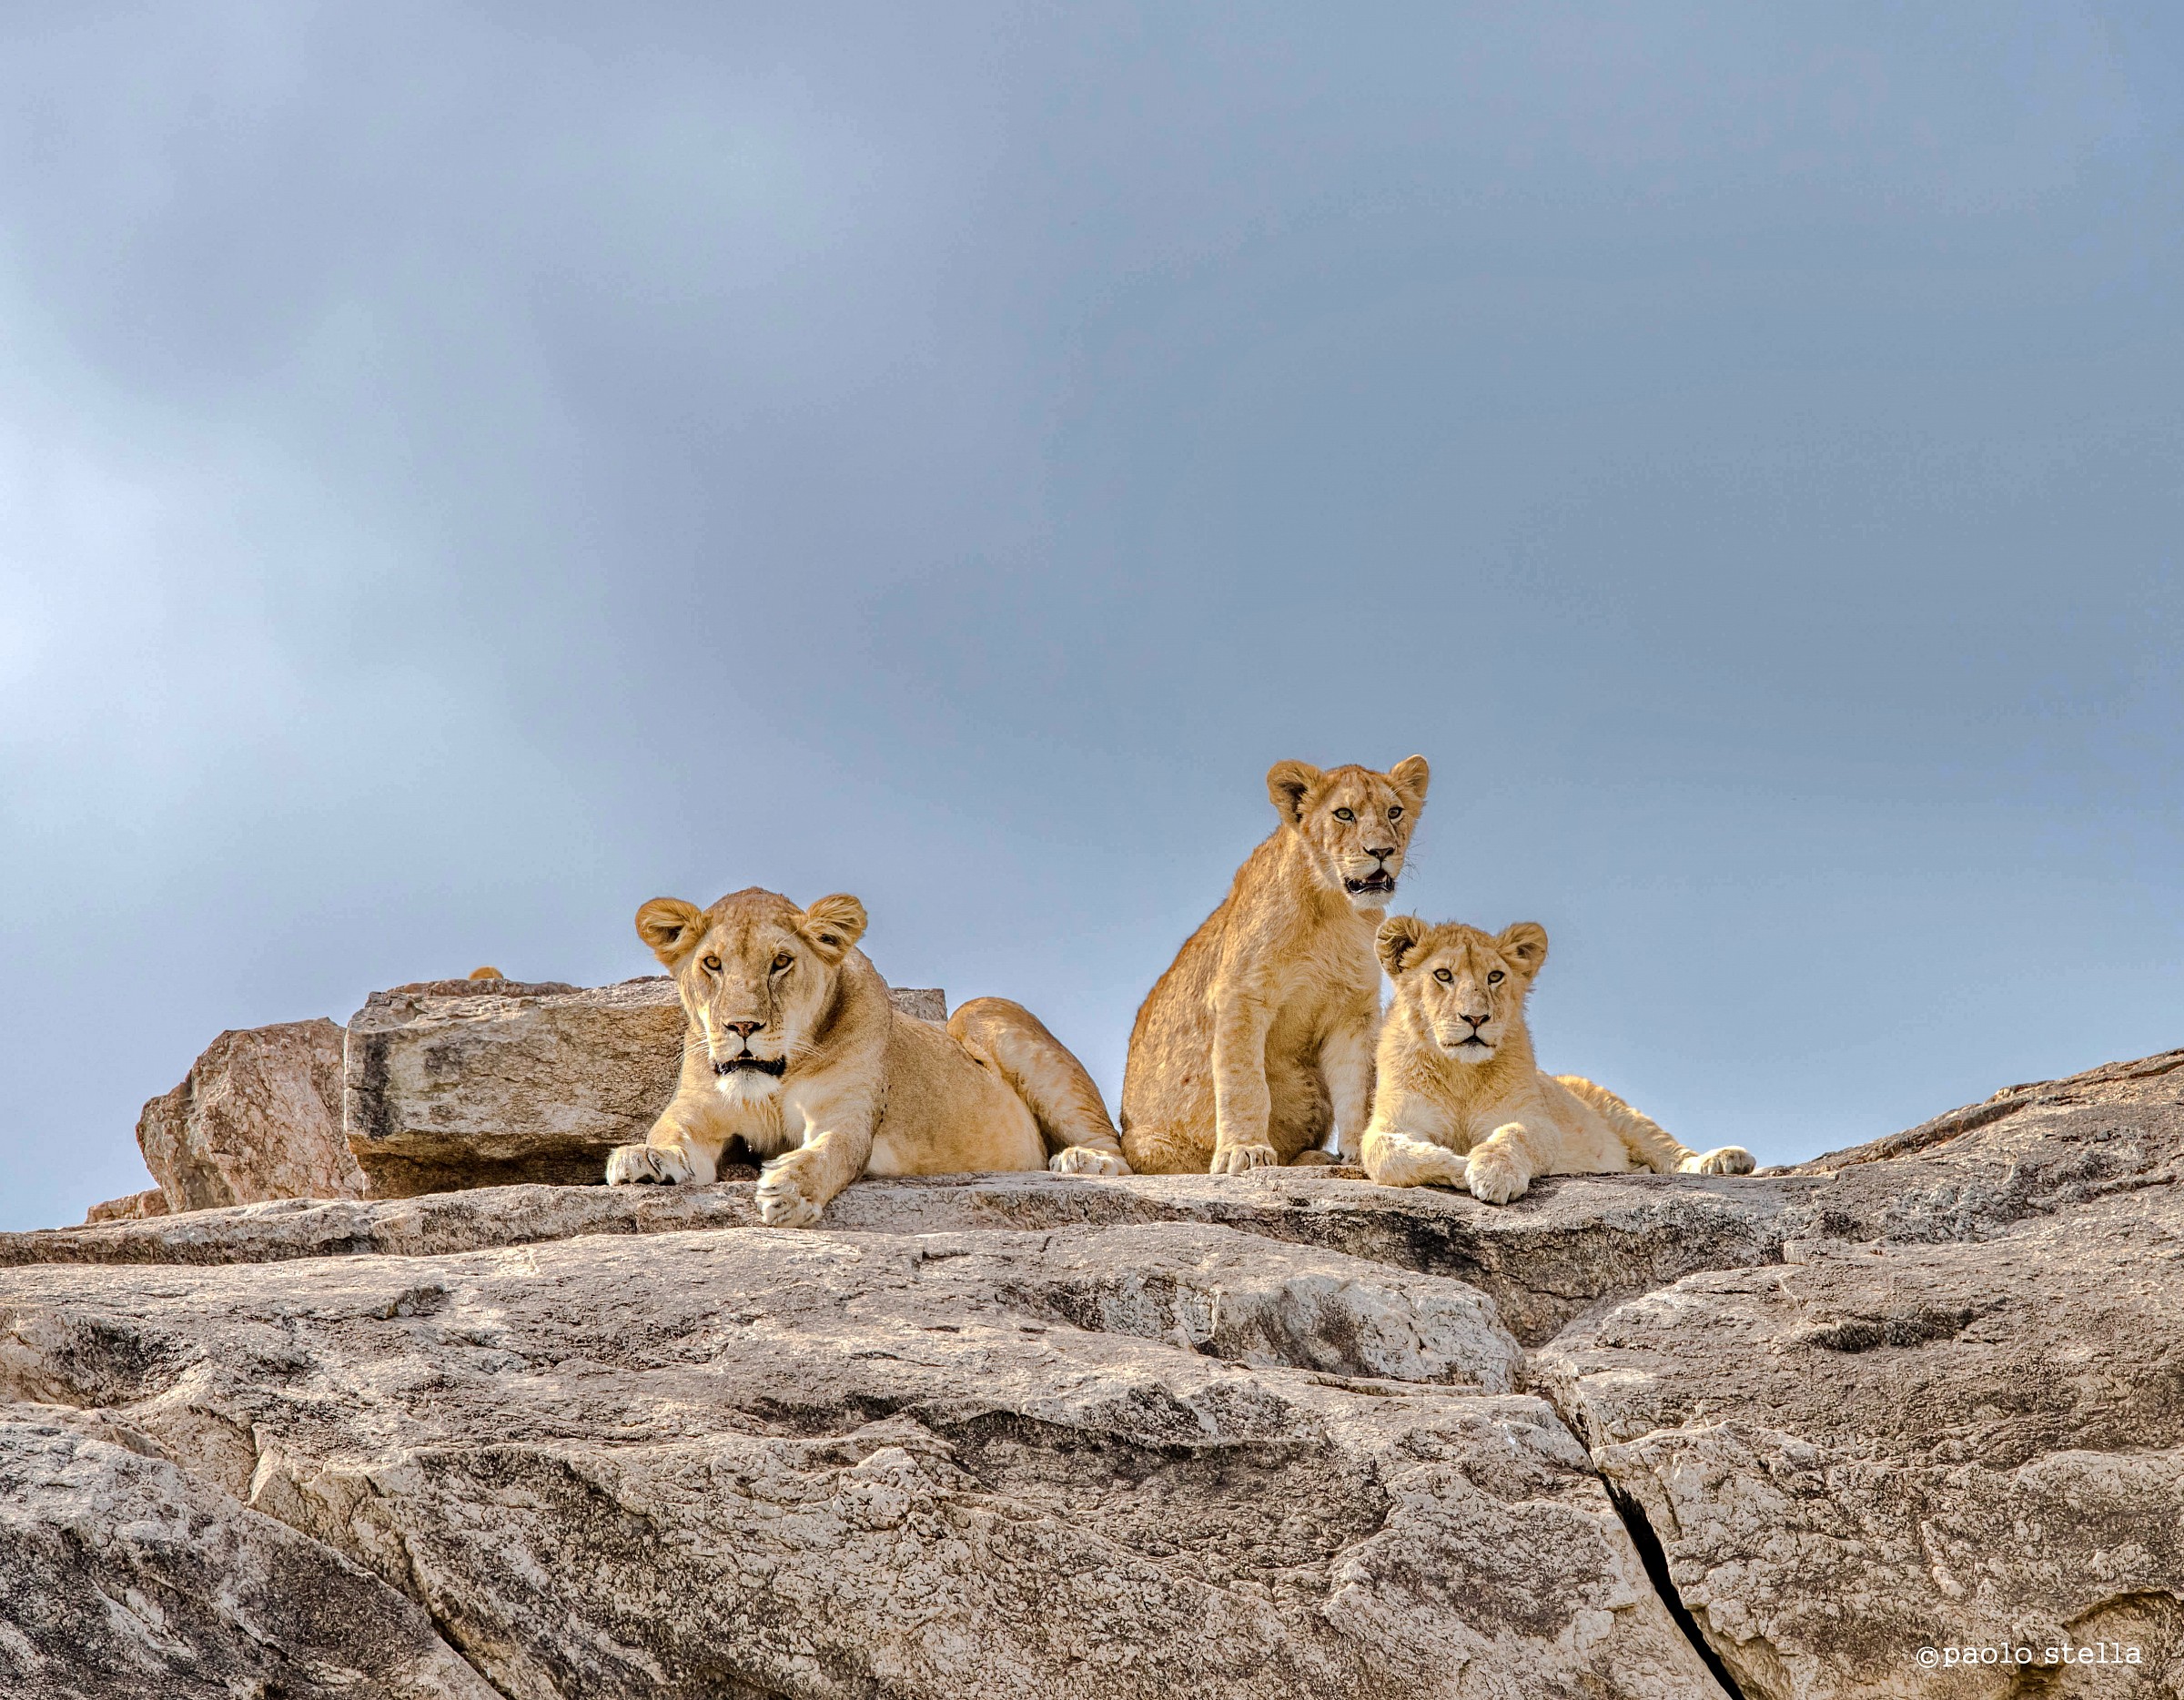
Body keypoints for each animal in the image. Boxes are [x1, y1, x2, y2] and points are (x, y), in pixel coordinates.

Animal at [605, 886, 1129, 1225]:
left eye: (781, 962)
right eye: (712, 963)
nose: (742, 1027)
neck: (776, 1079)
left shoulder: (848, 1115)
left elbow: (830, 1152)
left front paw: (789, 1192)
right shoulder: (699, 1110)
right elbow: (670, 1132)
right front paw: (644, 1158)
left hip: (982, 1010)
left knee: (1119, 1152)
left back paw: (1085, 1160)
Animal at [1121, 755, 1430, 1175]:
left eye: (1394, 812)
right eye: (1344, 814)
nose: (1381, 850)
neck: (1332, 907)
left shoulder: (1353, 1010)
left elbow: (1359, 1085)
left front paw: (1360, 1153)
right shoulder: (1241, 996)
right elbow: (1244, 1082)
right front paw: (1244, 1151)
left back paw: (1316, 1157)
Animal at [1360, 915, 1754, 1203]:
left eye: (1495, 976)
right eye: (1443, 975)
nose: (1476, 1018)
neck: (1460, 1071)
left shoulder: (1533, 1118)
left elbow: (1512, 1137)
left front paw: (1492, 1171)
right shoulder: (1392, 1122)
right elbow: (1387, 1155)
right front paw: (1462, 1165)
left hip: (1617, 1110)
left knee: (1672, 1152)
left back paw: (1726, 1160)